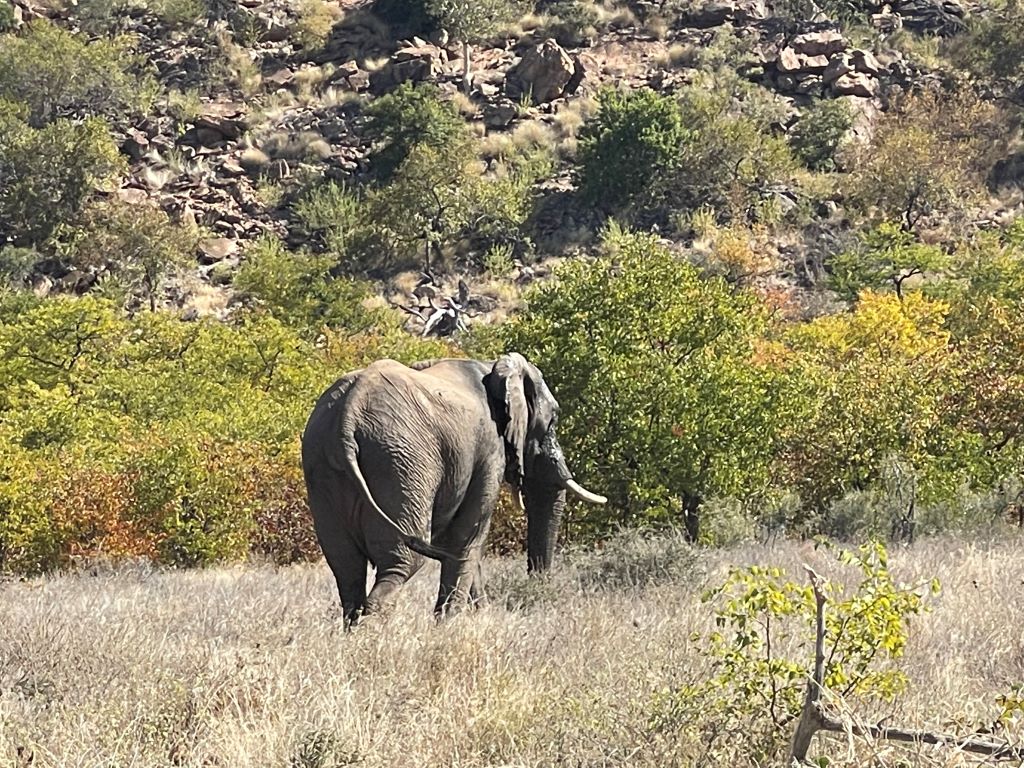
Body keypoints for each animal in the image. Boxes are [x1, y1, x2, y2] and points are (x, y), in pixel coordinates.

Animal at [301, 354, 606, 626]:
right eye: (553, 419)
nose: (538, 585)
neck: (492, 366)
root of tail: (348, 416)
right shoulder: (489, 450)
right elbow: (467, 535)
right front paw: (449, 625)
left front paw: (478, 617)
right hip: (401, 463)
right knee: (403, 561)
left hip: (324, 466)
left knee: (346, 567)